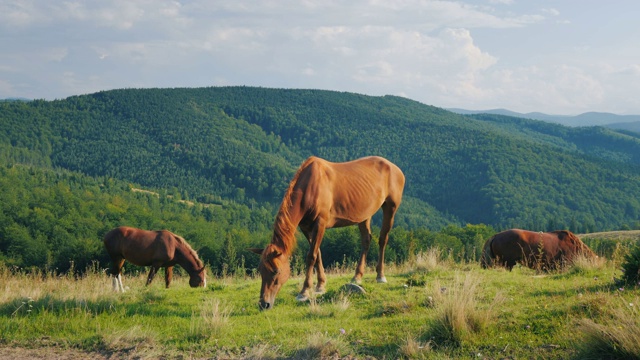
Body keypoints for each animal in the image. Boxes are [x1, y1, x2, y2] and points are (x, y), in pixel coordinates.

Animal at [250, 155, 404, 310]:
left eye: (276, 271)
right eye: (260, 270)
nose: (264, 304)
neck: (310, 187)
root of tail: (395, 168)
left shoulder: (320, 223)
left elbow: (311, 256)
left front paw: (304, 291)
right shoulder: (306, 228)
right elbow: (317, 253)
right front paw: (320, 285)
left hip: (390, 207)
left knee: (383, 239)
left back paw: (380, 276)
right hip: (365, 214)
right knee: (366, 240)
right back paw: (357, 276)